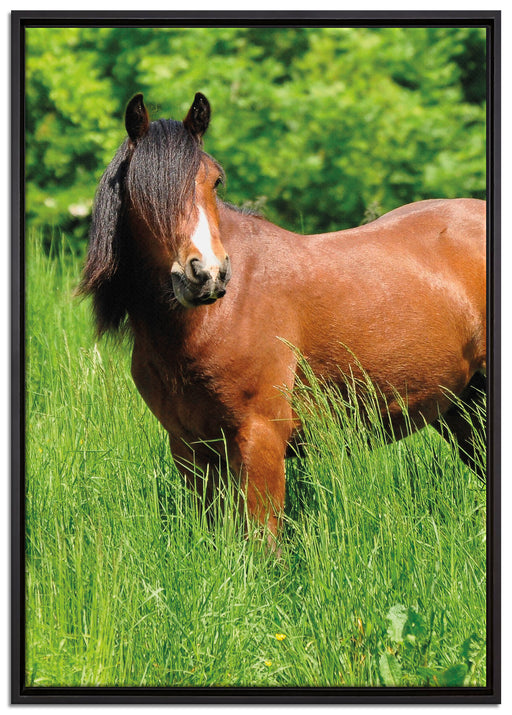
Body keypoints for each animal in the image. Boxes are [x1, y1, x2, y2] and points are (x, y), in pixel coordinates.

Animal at [80, 92, 486, 540]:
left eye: (214, 180)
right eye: (140, 187)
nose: (207, 274)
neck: (213, 319)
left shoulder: (261, 438)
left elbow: (263, 540)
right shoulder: (192, 449)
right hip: (464, 410)